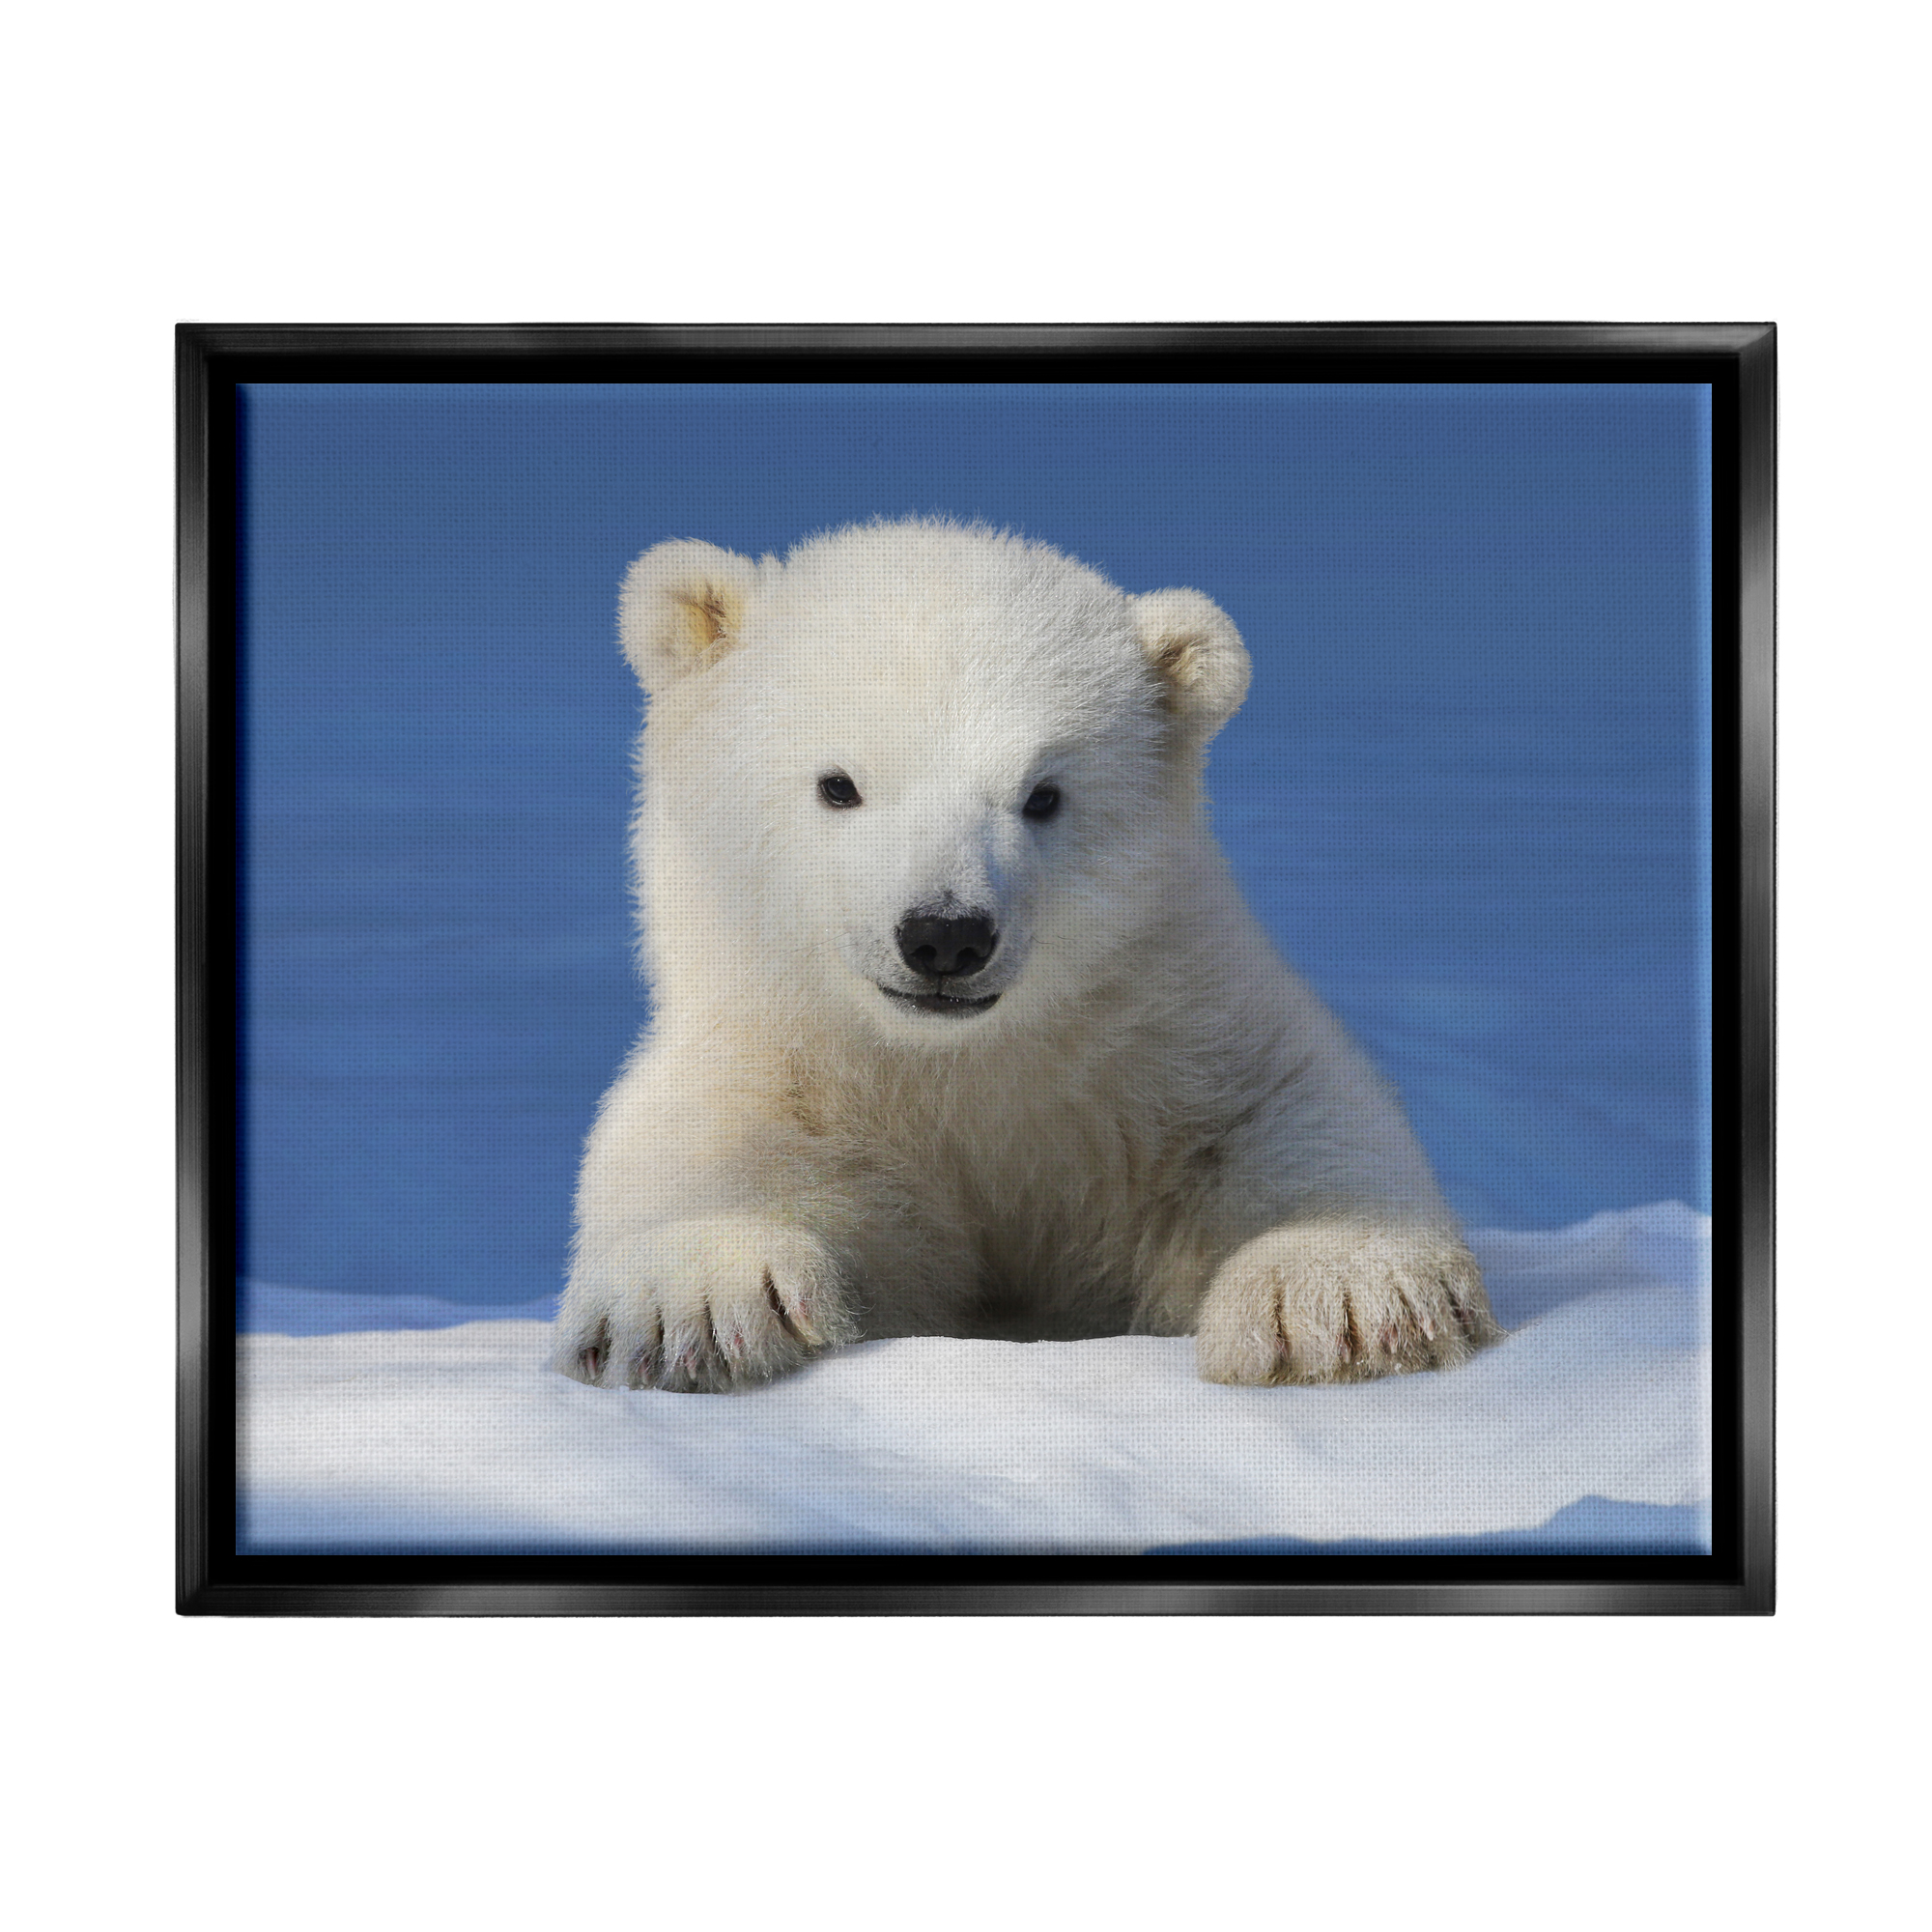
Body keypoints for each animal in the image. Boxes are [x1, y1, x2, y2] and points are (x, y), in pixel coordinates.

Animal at [553, 519, 1499, 1394]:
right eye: (838, 784)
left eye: (1042, 795)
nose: (946, 935)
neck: (962, 1066)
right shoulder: (783, 1062)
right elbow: (698, 1150)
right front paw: (695, 1308)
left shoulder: (1166, 1034)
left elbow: (1285, 1109)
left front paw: (1338, 1298)